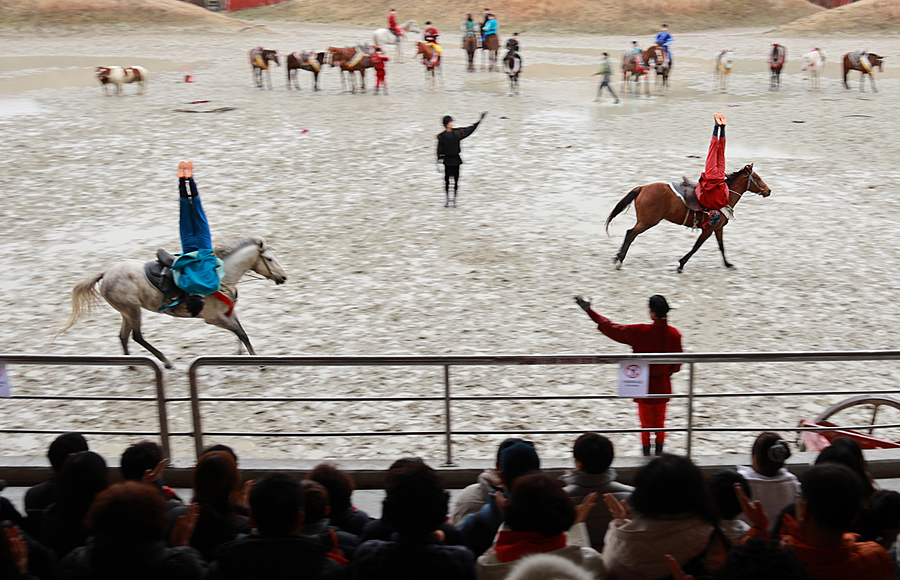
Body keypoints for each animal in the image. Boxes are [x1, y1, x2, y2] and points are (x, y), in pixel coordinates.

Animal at [56, 236, 286, 368]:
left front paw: (242, 355)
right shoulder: (213, 318)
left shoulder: (228, 313)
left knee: (123, 336)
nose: (283, 277)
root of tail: (106, 274)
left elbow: (240, 332)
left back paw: (131, 365)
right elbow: (240, 332)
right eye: (270, 259)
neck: (221, 276)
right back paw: (165, 362)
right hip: (133, 310)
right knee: (137, 336)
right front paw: (257, 362)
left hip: (127, 311)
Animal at [600, 164, 768, 270]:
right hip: (648, 221)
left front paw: (727, 264)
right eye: (758, 178)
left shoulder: (717, 228)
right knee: (630, 234)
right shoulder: (708, 229)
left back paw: (617, 258)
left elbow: (721, 246)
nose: (768, 190)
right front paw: (681, 263)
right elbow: (696, 247)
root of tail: (642, 188)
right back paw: (619, 260)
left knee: (630, 234)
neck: (722, 196)